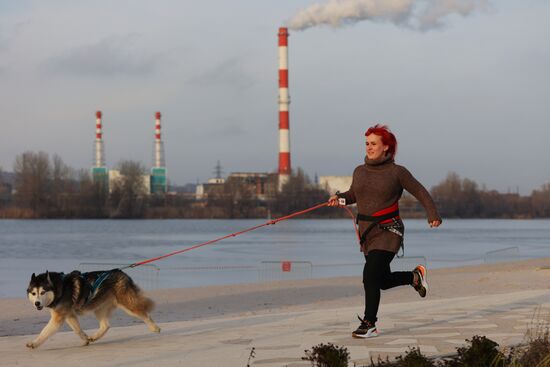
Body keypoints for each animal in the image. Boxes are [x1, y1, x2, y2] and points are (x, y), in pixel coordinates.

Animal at [27, 268, 161, 350]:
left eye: (42, 292)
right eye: (33, 293)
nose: (37, 303)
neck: (60, 287)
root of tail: (122, 273)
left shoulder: (58, 318)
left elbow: (44, 332)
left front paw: (34, 343)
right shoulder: (69, 315)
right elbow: (78, 330)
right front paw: (85, 340)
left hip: (127, 304)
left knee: (144, 313)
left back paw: (155, 327)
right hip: (99, 308)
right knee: (106, 325)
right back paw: (94, 337)